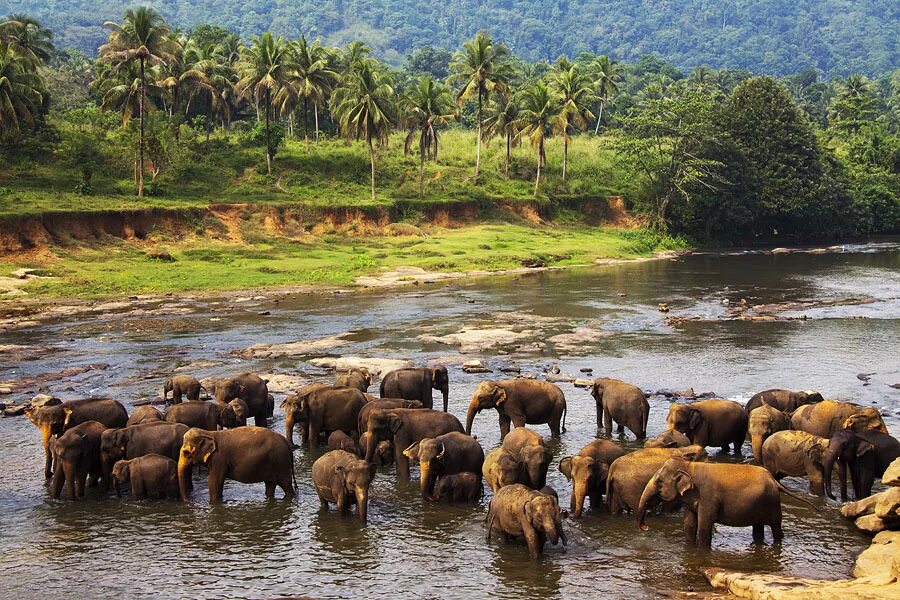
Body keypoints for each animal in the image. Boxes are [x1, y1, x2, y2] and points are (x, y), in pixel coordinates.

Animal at [636, 458, 800, 548]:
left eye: (659, 482)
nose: (645, 527)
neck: (689, 466)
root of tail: (774, 480)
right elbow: (689, 525)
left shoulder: (707, 496)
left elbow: (704, 526)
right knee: (758, 529)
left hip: (773, 503)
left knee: (776, 528)